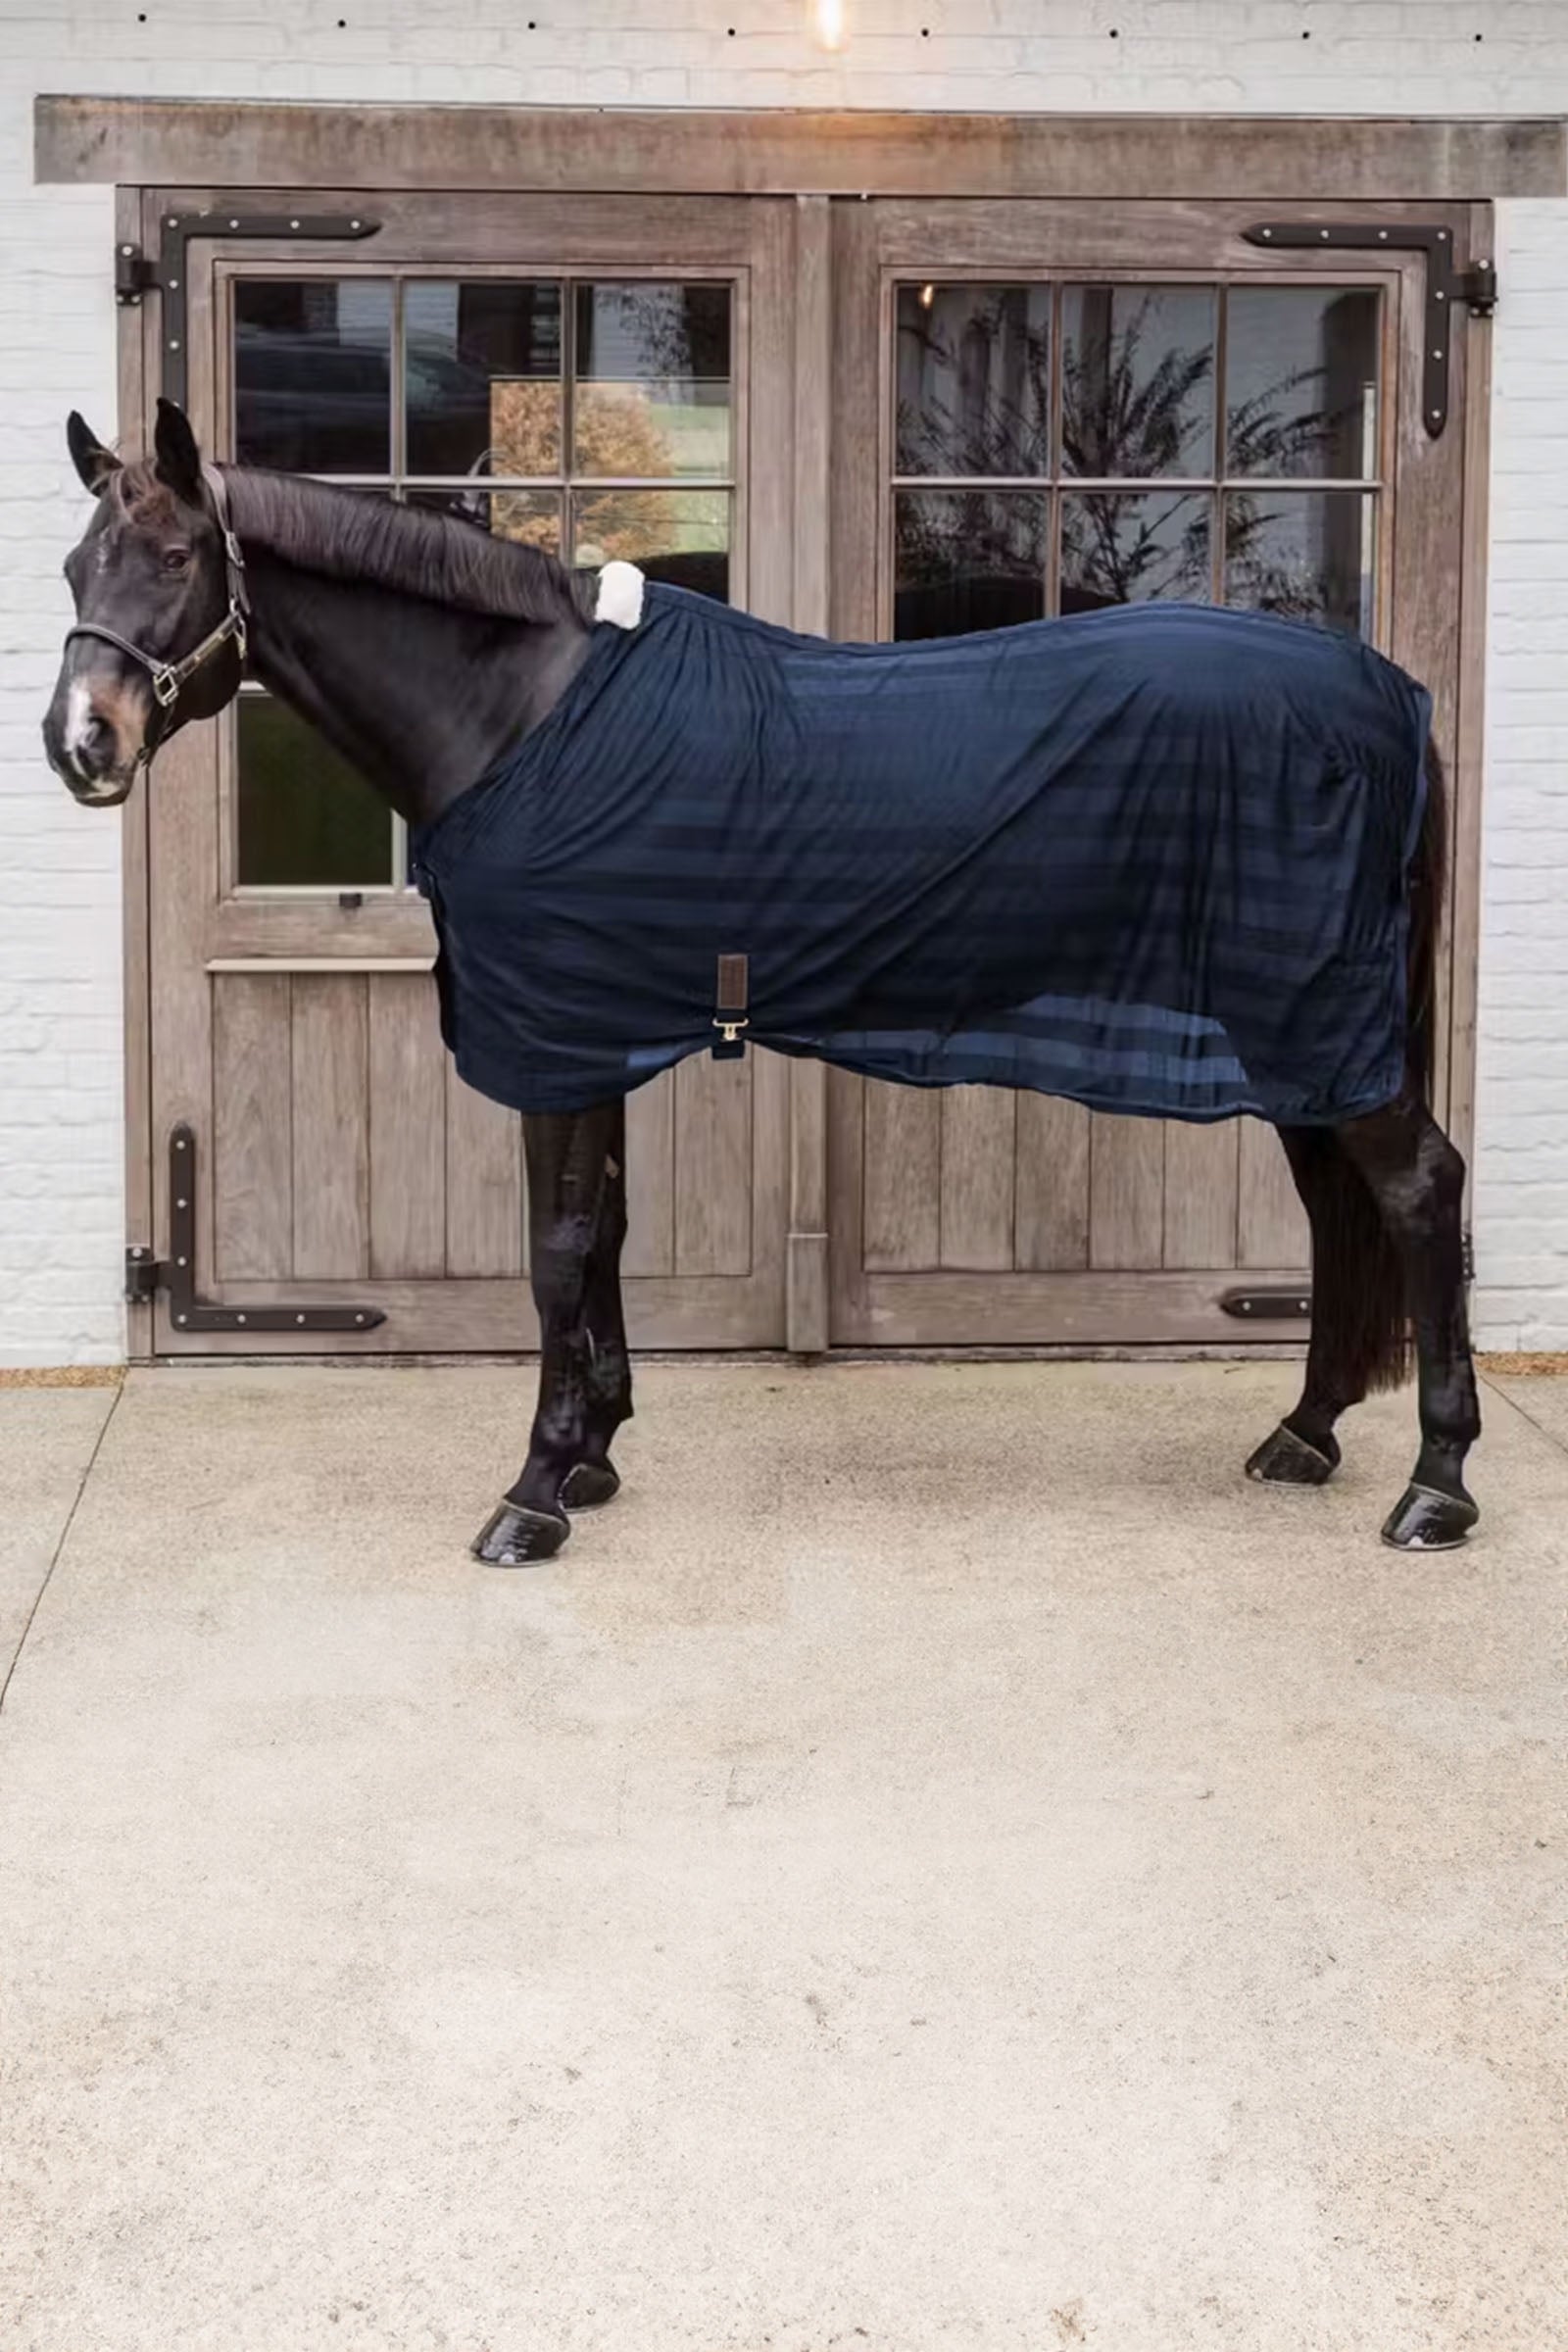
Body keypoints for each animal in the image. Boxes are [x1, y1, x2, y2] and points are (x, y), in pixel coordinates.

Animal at [42, 398, 1481, 1562]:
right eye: (72, 564)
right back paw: (1306, 1432)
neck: (517, 717)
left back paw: (1437, 1486)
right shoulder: (590, 1034)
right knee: (1339, 1202)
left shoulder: (554, 1039)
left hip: (1311, 1021)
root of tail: (1384, 691)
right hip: (1297, 1032)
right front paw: (596, 1453)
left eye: (174, 559)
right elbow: (606, 1235)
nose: (79, 745)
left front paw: (532, 1495)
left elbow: (554, 1254)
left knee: (1417, 1190)